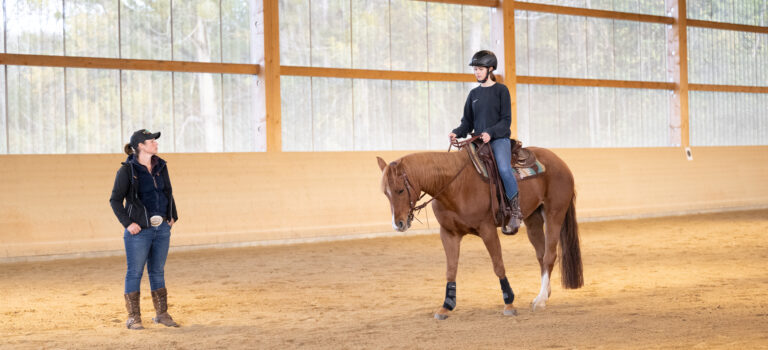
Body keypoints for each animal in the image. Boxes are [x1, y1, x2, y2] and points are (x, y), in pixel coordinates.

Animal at [376, 146, 584, 318]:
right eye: (386, 193)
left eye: (400, 190)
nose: (398, 224)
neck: (455, 185)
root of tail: (560, 162)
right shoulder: (448, 234)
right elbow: (451, 269)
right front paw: (446, 305)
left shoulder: (487, 229)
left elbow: (498, 265)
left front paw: (509, 303)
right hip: (533, 219)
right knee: (541, 256)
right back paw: (544, 294)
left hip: (554, 214)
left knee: (549, 256)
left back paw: (540, 301)